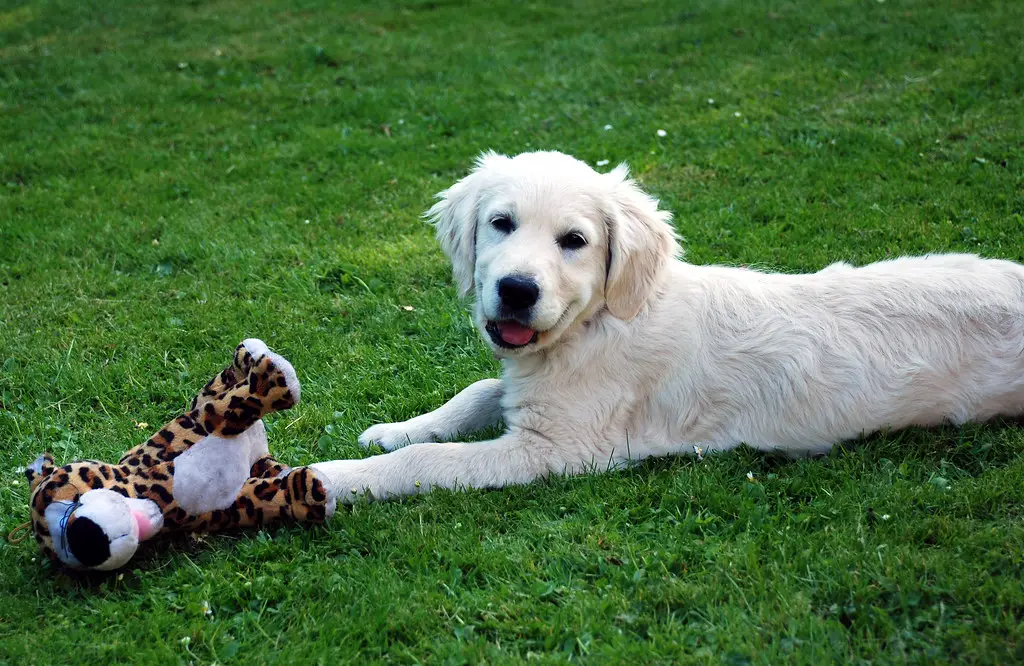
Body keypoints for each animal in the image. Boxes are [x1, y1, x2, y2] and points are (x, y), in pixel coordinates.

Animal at [309, 150, 1024, 504]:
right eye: (501, 224)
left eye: (574, 242)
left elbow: (427, 461)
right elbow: (478, 392)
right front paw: (395, 429)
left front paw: (331, 479)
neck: (597, 323)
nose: (516, 290)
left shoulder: (559, 447)